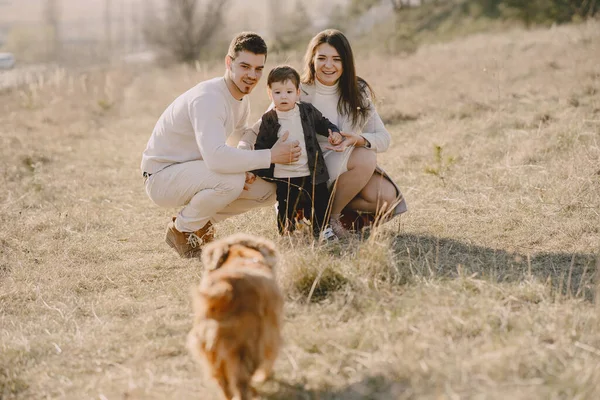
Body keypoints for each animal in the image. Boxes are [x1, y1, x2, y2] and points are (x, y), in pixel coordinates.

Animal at [188, 233, 284, 398]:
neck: (240, 255)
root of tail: (226, 291)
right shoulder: (269, 332)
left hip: (210, 350)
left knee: (223, 383)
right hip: (247, 346)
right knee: (242, 380)